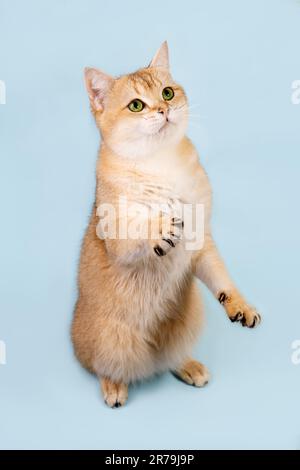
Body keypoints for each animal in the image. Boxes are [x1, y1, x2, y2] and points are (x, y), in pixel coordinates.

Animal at [71, 41, 262, 408]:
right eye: (136, 105)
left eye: (168, 92)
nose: (163, 110)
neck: (160, 162)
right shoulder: (115, 229)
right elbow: (137, 230)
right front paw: (159, 228)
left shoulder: (202, 240)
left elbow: (220, 275)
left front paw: (239, 303)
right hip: (110, 338)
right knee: (105, 365)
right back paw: (114, 386)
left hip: (192, 314)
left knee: (167, 357)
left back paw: (186, 365)